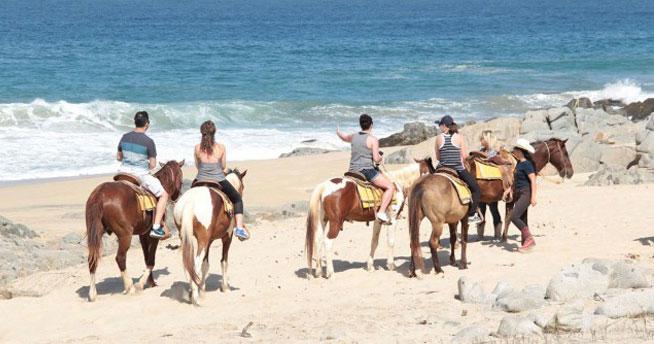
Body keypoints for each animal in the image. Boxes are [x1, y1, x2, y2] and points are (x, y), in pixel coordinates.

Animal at [86, 160, 184, 302]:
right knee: (120, 258)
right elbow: (151, 261)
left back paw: (93, 293)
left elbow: (146, 258)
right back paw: (129, 287)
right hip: (125, 235)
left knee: (92, 259)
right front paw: (142, 283)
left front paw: (151, 282)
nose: (177, 197)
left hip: (96, 232)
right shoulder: (152, 237)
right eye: (181, 180)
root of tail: (100, 194)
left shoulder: (143, 235)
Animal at [173, 168, 247, 306]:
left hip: (187, 238)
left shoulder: (209, 241)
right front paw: (225, 287)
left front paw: (202, 289)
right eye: (243, 186)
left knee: (189, 265)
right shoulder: (227, 237)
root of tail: (190, 202)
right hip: (203, 240)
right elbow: (224, 261)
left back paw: (193, 292)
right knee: (195, 265)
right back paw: (195, 298)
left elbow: (205, 265)